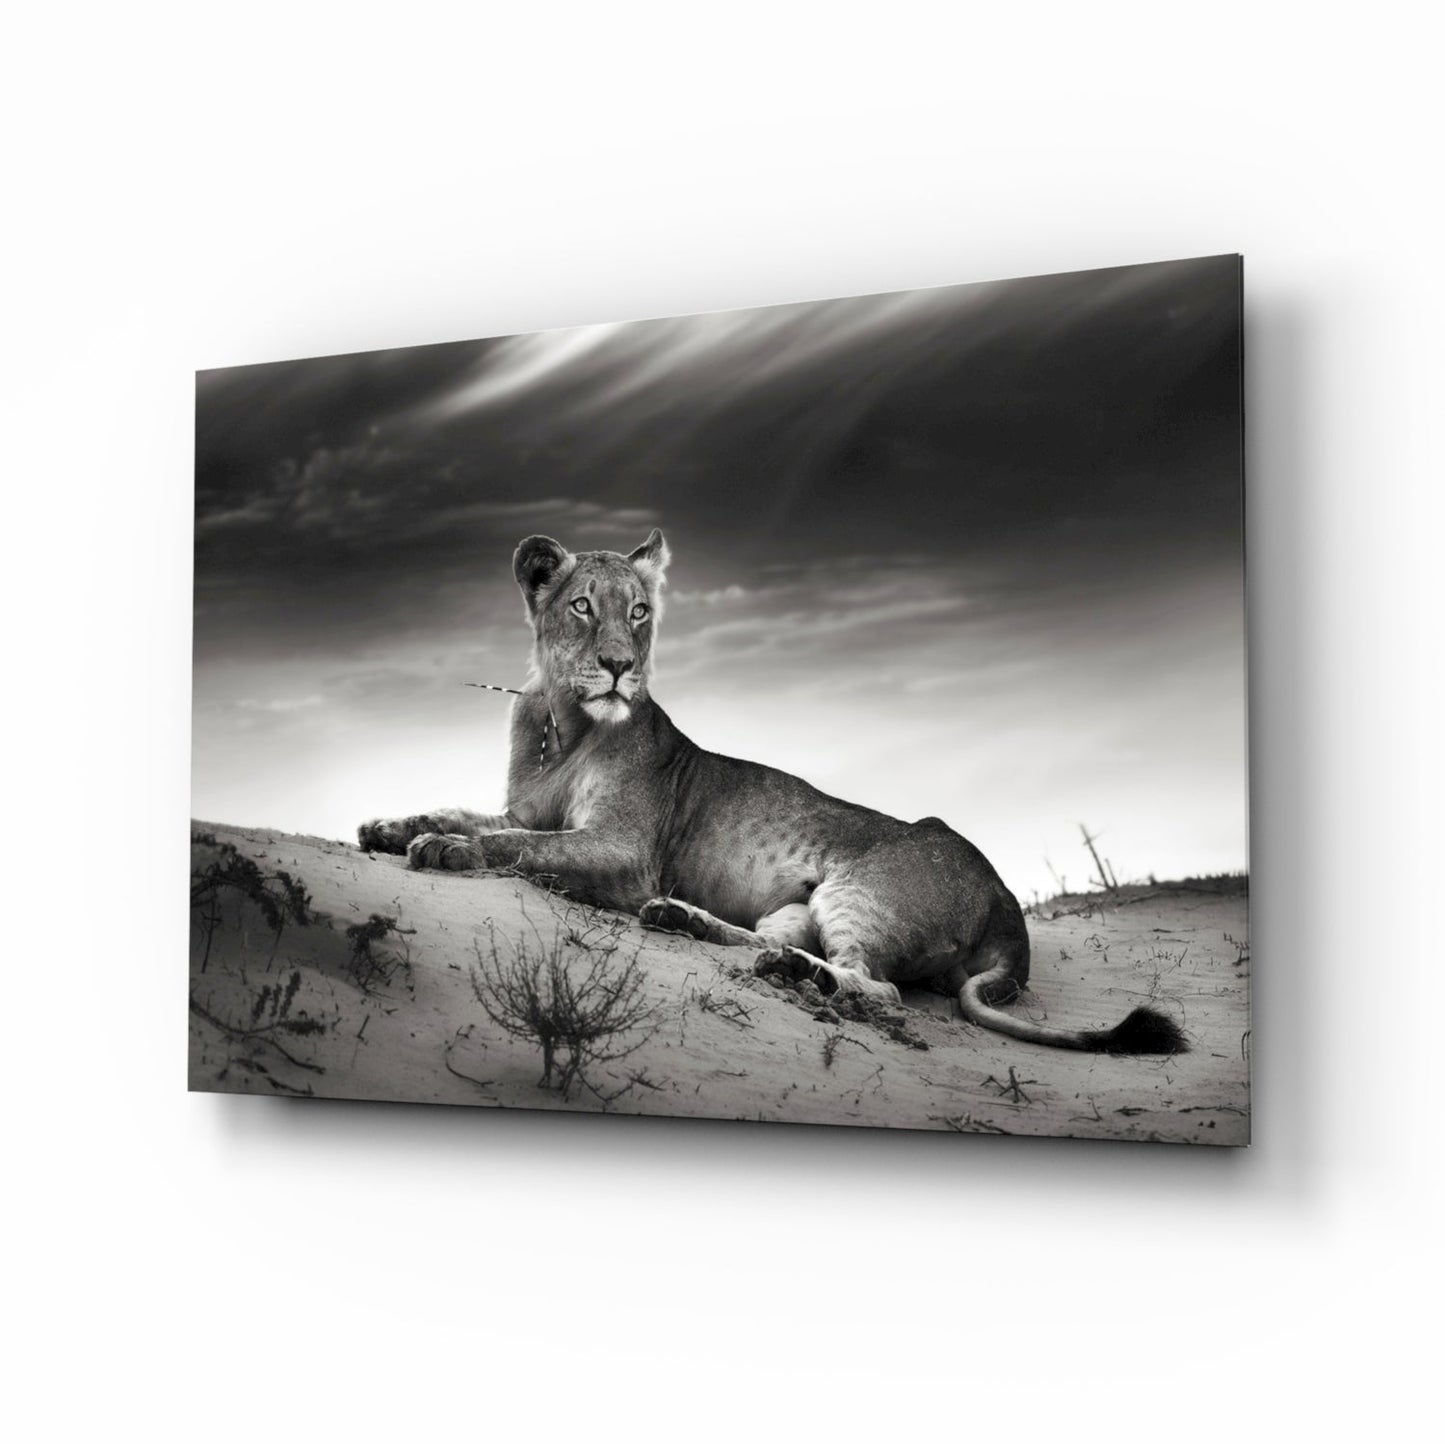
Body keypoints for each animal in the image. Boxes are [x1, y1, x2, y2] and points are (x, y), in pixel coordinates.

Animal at [358, 530, 1186, 1054]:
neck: (562, 722)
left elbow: (515, 845)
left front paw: (442, 849)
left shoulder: (624, 852)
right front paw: (391, 827)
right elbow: (477, 815)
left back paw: (790, 972)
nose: (621, 666)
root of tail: (1008, 902)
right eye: (581, 606)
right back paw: (686, 922)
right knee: (765, 939)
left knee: (873, 987)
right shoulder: (526, 808)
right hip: (797, 904)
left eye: (639, 612)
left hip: (858, 894)